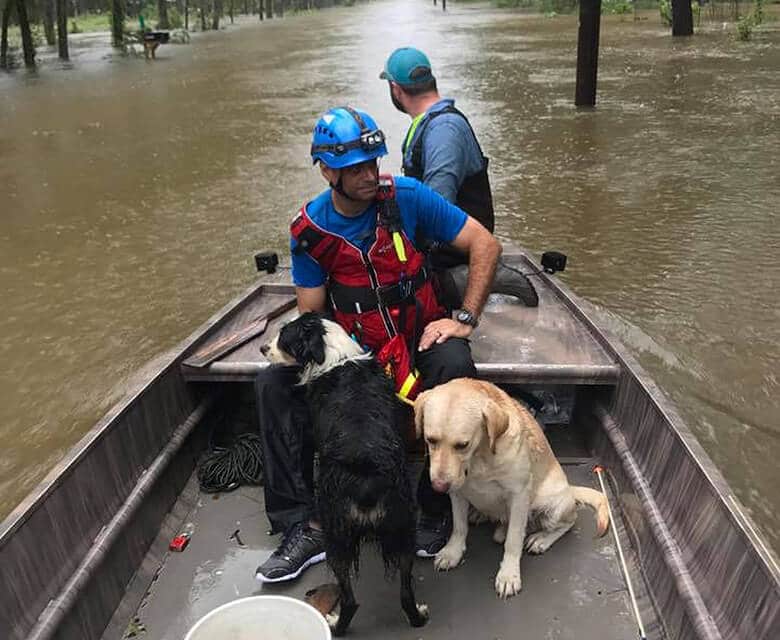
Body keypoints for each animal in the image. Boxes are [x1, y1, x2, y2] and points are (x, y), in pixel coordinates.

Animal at [266, 312, 430, 632]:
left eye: (284, 338)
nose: (262, 349)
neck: (334, 355)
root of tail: (366, 479)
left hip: (336, 534)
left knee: (351, 600)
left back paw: (334, 623)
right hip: (403, 526)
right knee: (405, 593)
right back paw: (418, 616)